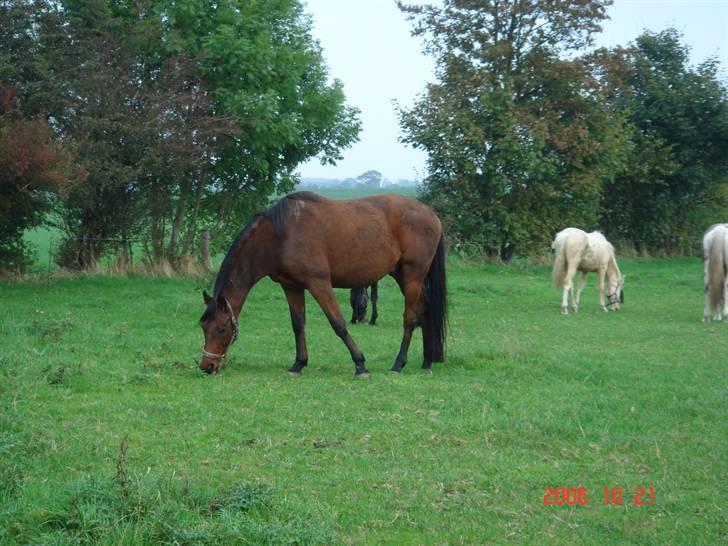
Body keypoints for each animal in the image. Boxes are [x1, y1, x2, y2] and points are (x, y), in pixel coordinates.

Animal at [199, 191, 447, 376]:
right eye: (203, 327)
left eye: (222, 328)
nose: (207, 366)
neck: (281, 234)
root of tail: (432, 215)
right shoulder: (291, 286)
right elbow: (298, 324)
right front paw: (298, 364)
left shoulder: (319, 283)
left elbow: (338, 324)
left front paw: (360, 364)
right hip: (402, 276)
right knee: (425, 310)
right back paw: (426, 361)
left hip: (413, 275)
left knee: (410, 318)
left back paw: (398, 363)